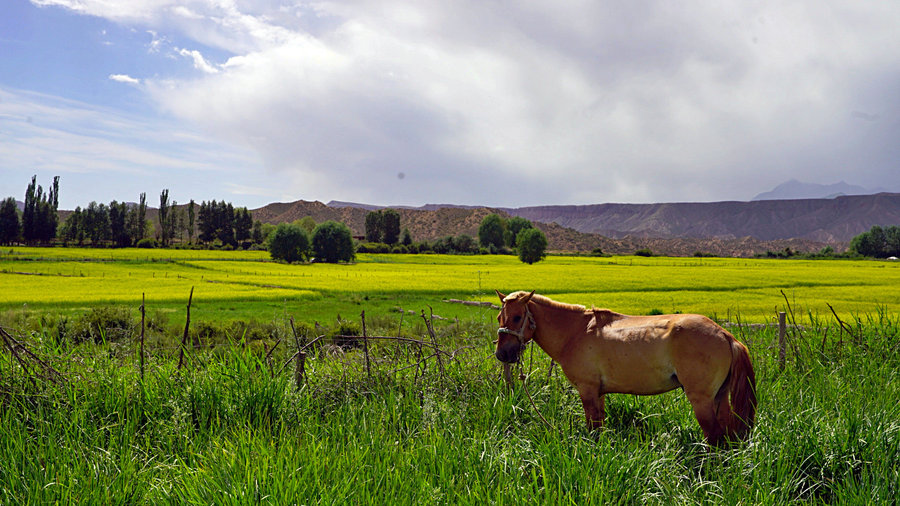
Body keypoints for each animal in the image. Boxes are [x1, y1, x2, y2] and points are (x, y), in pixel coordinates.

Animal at [496, 290, 756, 444]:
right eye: (500, 317)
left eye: (517, 317)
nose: (502, 354)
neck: (575, 332)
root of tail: (724, 334)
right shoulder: (598, 393)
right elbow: (599, 424)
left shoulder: (587, 390)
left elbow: (593, 427)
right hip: (720, 397)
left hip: (701, 400)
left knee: (714, 436)